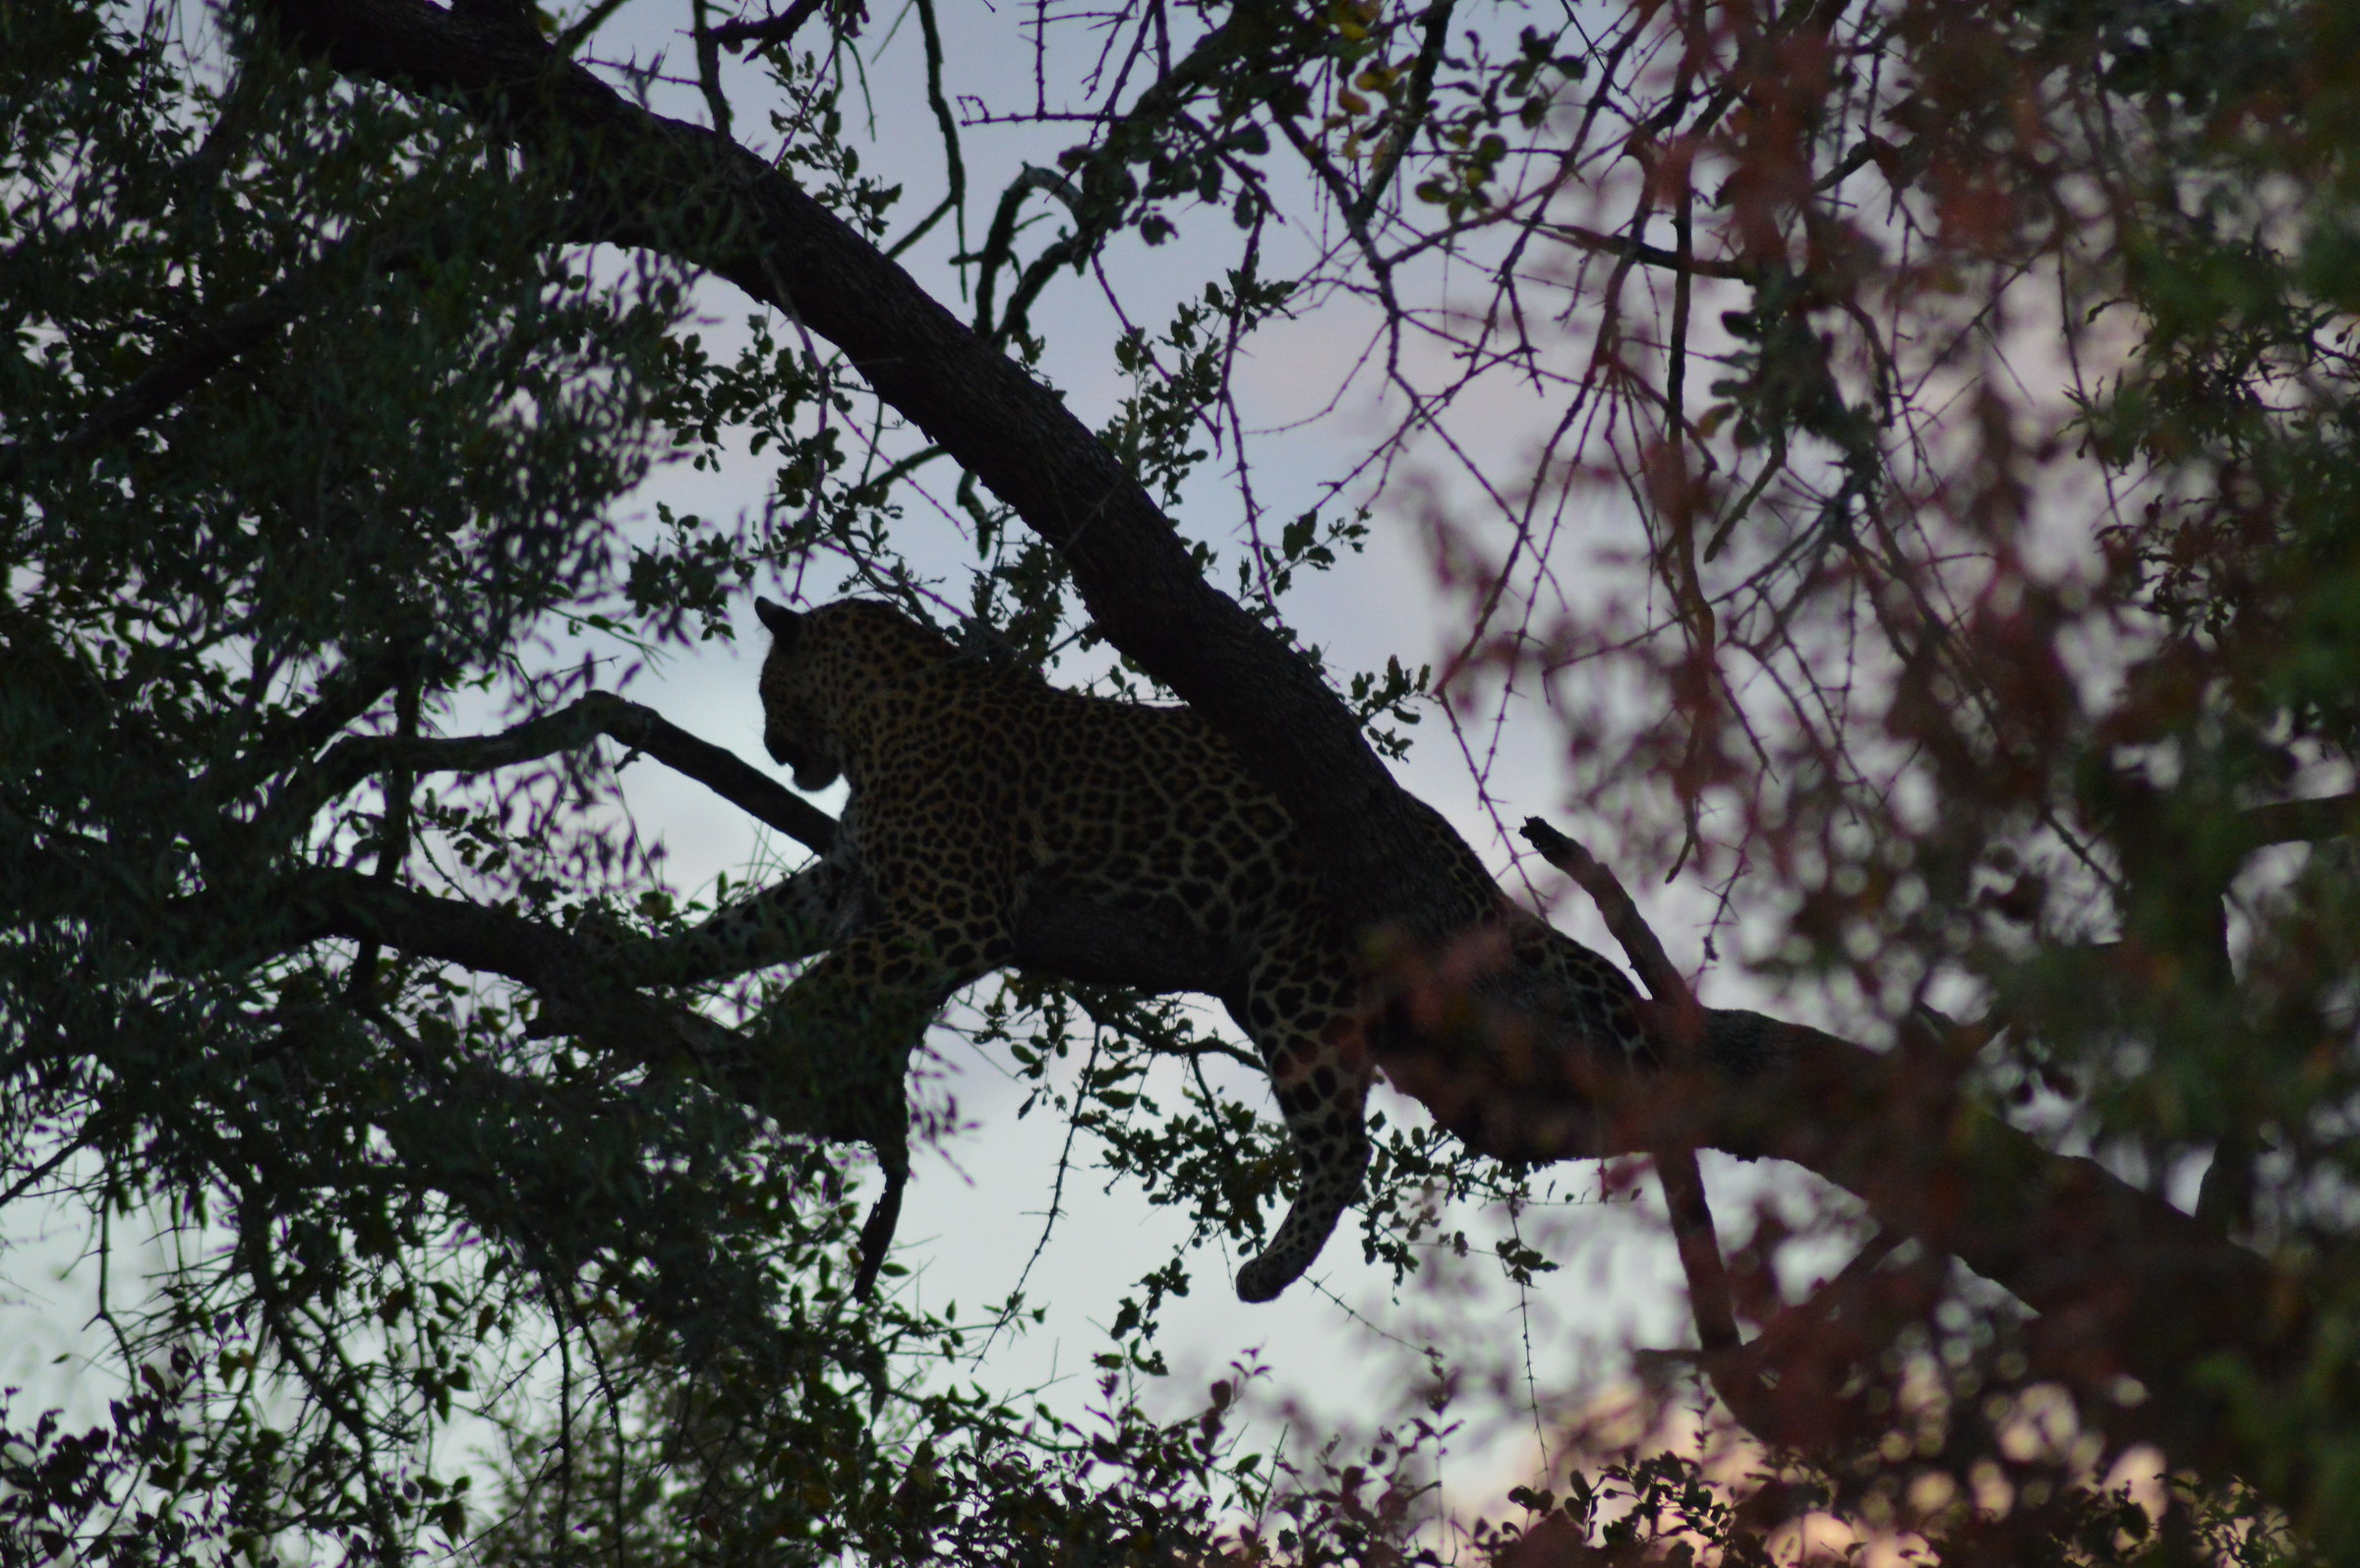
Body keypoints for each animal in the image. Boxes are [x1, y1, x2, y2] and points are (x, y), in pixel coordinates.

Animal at [607, 595, 1653, 1303]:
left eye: (767, 688)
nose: (772, 750)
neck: (880, 715)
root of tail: (1453, 852)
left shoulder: (949, 907)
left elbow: (828, 976)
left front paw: (764, 1040)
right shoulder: (848, 884)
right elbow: (739, 928)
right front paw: (636, 956)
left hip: (1298, 976)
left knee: (1345, 1141)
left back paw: (1270, 1269)